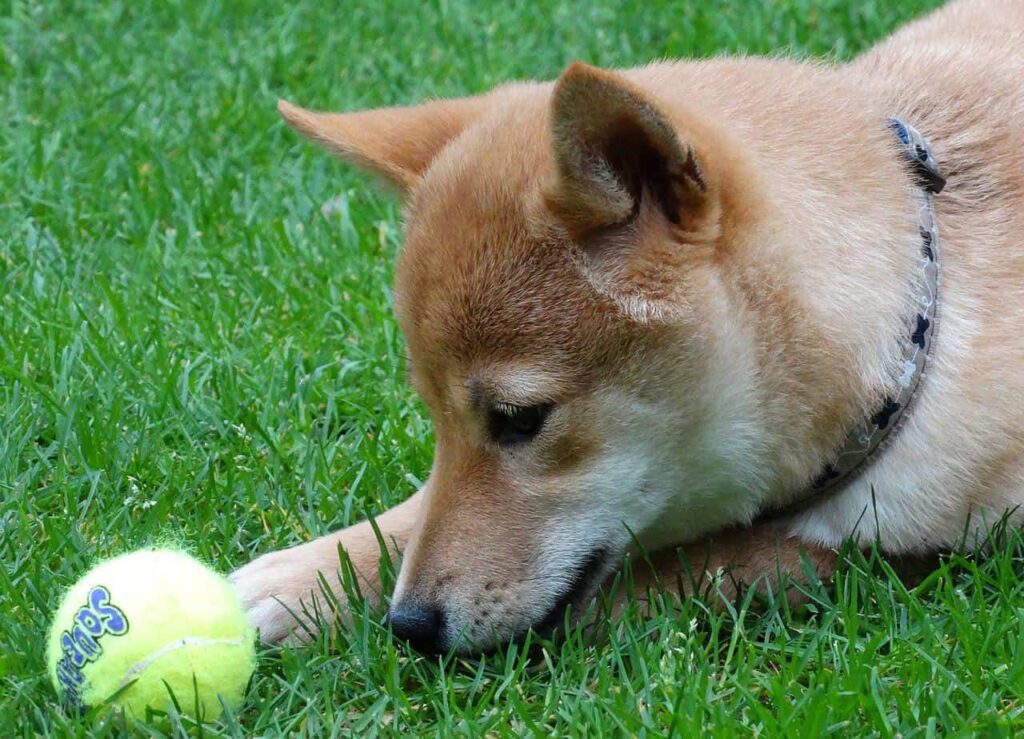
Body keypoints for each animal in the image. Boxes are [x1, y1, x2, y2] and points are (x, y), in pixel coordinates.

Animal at [232, 0, 1024, 655]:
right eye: (435, 418)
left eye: (520, 420)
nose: (410, 625)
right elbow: (420, 510)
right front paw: (307, 579)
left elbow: (712, 563)